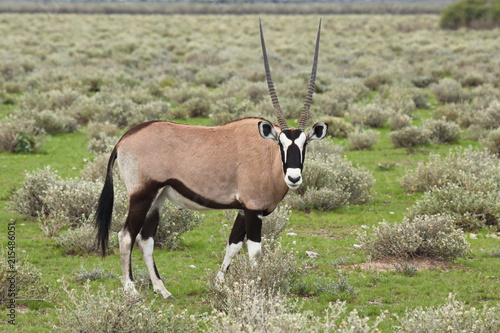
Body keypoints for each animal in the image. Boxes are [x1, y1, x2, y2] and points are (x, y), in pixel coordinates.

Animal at [95, 19, 326, 296]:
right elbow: (255, 251)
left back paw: (162, 289)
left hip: (157, 198)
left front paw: (219, 283)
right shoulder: (253, 209)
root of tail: (123, 139)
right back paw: (130, 289)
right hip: (142, 194)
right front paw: (258, 287)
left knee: (146, 238)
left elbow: (233, 244)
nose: (293, 177)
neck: (266, 157)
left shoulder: (243, 210)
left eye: (304, 144)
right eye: (281, 144)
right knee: (126, 235)